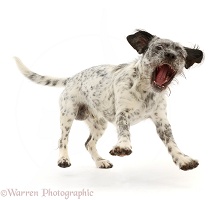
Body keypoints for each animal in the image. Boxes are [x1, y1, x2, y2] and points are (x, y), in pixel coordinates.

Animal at [14, 29, 204, 170]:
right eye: (158, 48)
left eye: (180, 53)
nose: (170, 55)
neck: (145, 92)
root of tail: (72, 78)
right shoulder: (122, 114)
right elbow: (124, 131)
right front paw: (123, 146)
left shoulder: (162, 121)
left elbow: (172, 142)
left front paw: (182, 159)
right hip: (68, 116)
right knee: (63, 139)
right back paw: (63, 159)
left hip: (99, 124)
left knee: (89, 144)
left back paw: (100, 162)